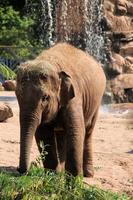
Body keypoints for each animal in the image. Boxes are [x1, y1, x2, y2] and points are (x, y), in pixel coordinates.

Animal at [15, 43, 105, 177]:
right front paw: (52, 175)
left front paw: (73, 180)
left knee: (88, 132)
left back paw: (88, 174)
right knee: (62, 136)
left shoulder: (74, 97)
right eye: (17, 95)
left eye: (45, 98)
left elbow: (76, 130)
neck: (50, 62)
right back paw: (60, 173)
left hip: (96, 103)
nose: (20, 170)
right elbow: (43, 133)